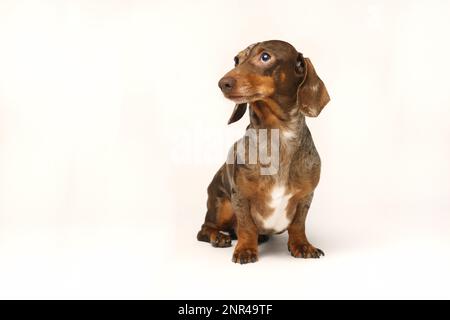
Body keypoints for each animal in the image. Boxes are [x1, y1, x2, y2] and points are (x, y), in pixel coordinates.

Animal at [197, 40, 330, 264]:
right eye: (237, 60)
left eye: (265, 57)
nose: (223, 83)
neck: (277, 136)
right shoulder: (240, 196)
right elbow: (246, 227)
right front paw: (245, 249)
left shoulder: (306, 197)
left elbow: (298, 225)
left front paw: (302, 246)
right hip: (221, 205)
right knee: (205, 229)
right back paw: (219, 237)